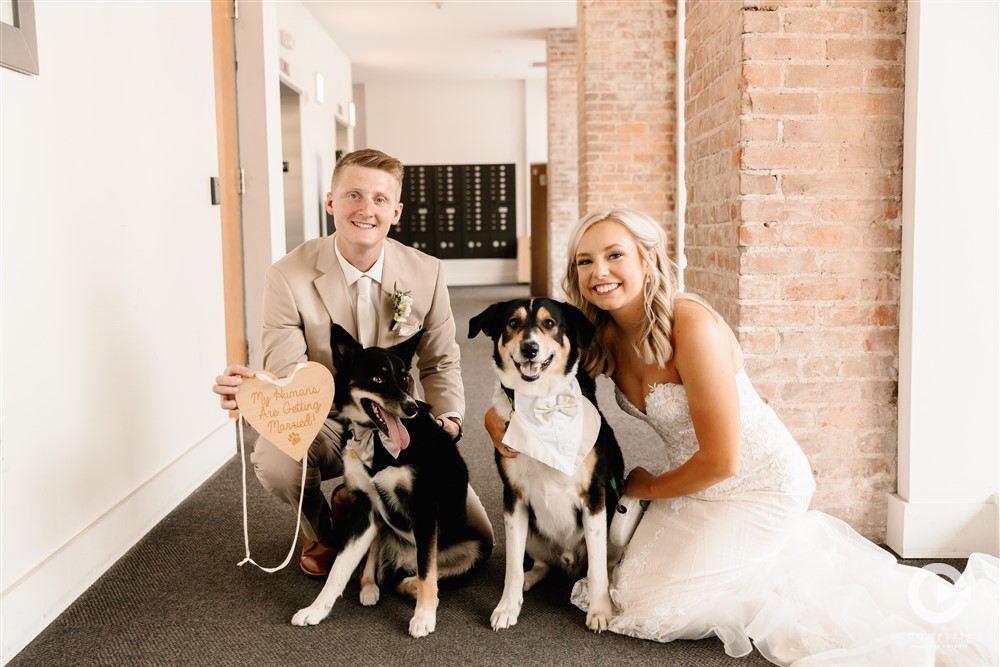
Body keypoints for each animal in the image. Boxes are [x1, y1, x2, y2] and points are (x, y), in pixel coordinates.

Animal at [290, 326, 492, 640]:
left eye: (405, 377)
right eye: (377, 379)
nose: (410, 408)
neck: (376, 440)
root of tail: (404, 559)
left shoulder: (425, 509)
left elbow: (427, 572)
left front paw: (424, 617)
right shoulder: (364, 509)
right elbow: (339, 568)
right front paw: (316, 609)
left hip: (475, 545)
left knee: (423, 573)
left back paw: (409, 585)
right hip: (380, 524)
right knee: (375, 563)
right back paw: (370, 587)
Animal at [470, 300, 624, 636]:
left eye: (550, 323)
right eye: (513, 323)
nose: (529, 348)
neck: (542, 406)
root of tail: (567, 560)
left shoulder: (594, 498)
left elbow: (597, 569)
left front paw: (600, 610)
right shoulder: (513, 498)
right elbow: (513, 566)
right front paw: (507, 606)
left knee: (601, 565)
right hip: (531, 532)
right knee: (539, 565)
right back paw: (527, 583)